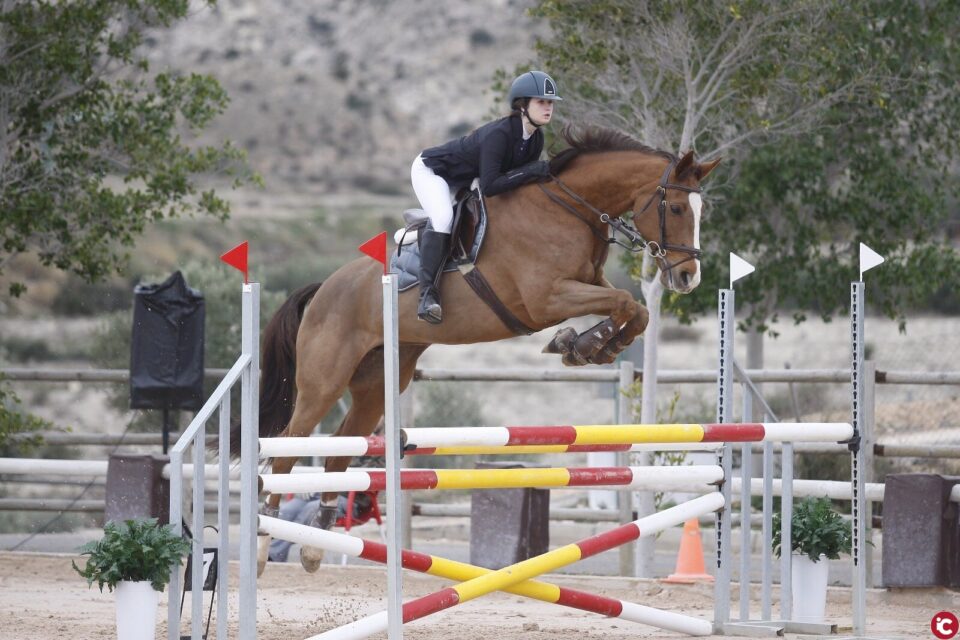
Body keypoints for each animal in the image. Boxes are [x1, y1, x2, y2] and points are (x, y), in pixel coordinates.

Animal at [248, 124, 720, 568]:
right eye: (676, 207)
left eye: (702, 211)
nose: (687, 277)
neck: (570, 208)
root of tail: (323, 289)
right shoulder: (545, 299)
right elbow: (624, 301)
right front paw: (585, 344)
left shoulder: (586, 285)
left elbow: (634, 309)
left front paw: (586, 345)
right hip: (324, 383)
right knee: (285, 455)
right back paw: (262, 543)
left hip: (377, 384)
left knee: (338, 454)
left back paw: (314, 547)